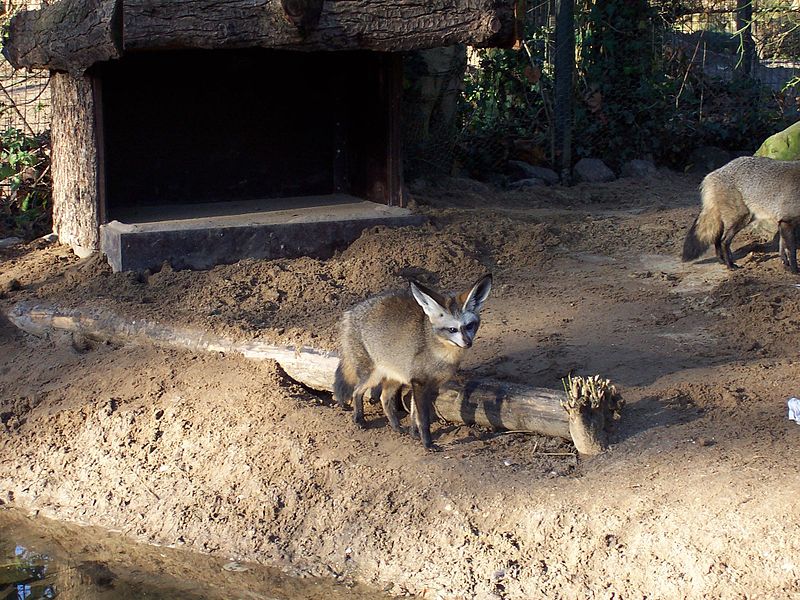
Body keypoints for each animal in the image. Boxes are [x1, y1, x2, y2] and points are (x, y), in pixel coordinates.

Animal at [332, 274, 494, 448]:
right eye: (452, 329)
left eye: (469, 326)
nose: (468, 343)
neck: (439, 352)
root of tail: (349, 312)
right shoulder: (419, 383)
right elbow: (423, 419)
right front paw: (427, 444)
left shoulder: (429, 385)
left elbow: (414, 414)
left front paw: (414, 434)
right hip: (373, 376)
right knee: (357, 391)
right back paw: (359, 419)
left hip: (395, 378)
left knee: (384, 398)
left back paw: (396, 426)